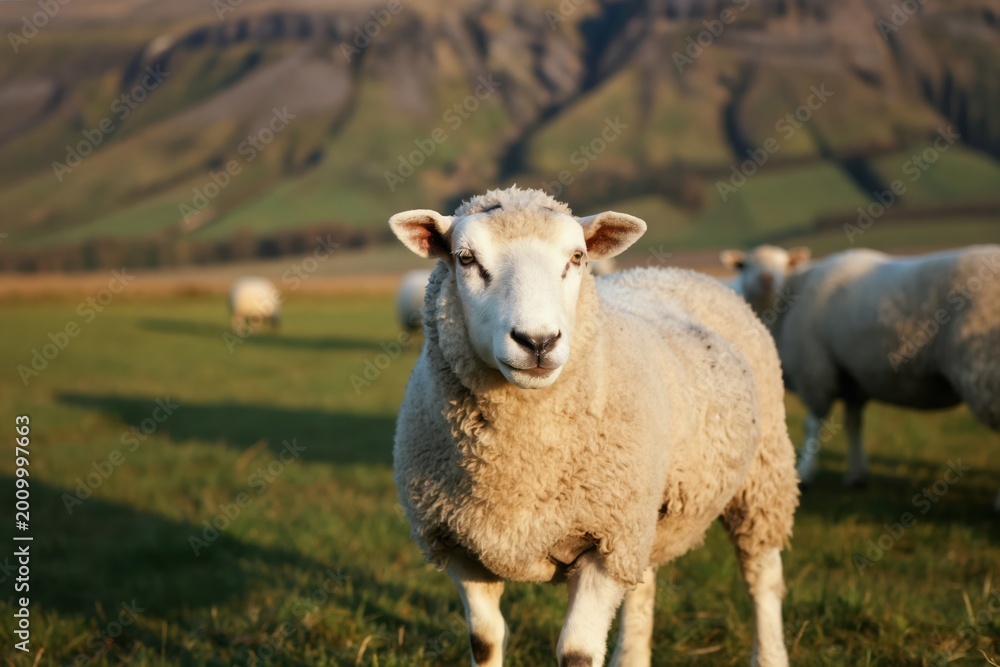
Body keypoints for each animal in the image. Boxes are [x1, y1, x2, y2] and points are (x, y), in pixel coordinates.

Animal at [390, 186, 799, 667]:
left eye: (577, 257)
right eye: (466, 258)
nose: (538, 341)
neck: (519, 469)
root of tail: (677, 272)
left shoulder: (604, 542)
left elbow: (577, 654)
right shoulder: (460, 546)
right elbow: (485, 641)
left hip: (761, 479)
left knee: (763, 579)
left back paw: (770, 652)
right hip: (644, 516)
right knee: (643, 586)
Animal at [720, 244, 1000, 508]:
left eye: (786, 262)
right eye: (744, 265)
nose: (766, 279)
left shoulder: (814, 370)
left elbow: (813, 424)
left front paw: (805, 475)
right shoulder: (851, 380)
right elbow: (853, 423)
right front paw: (856, 476)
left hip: (985, 366)